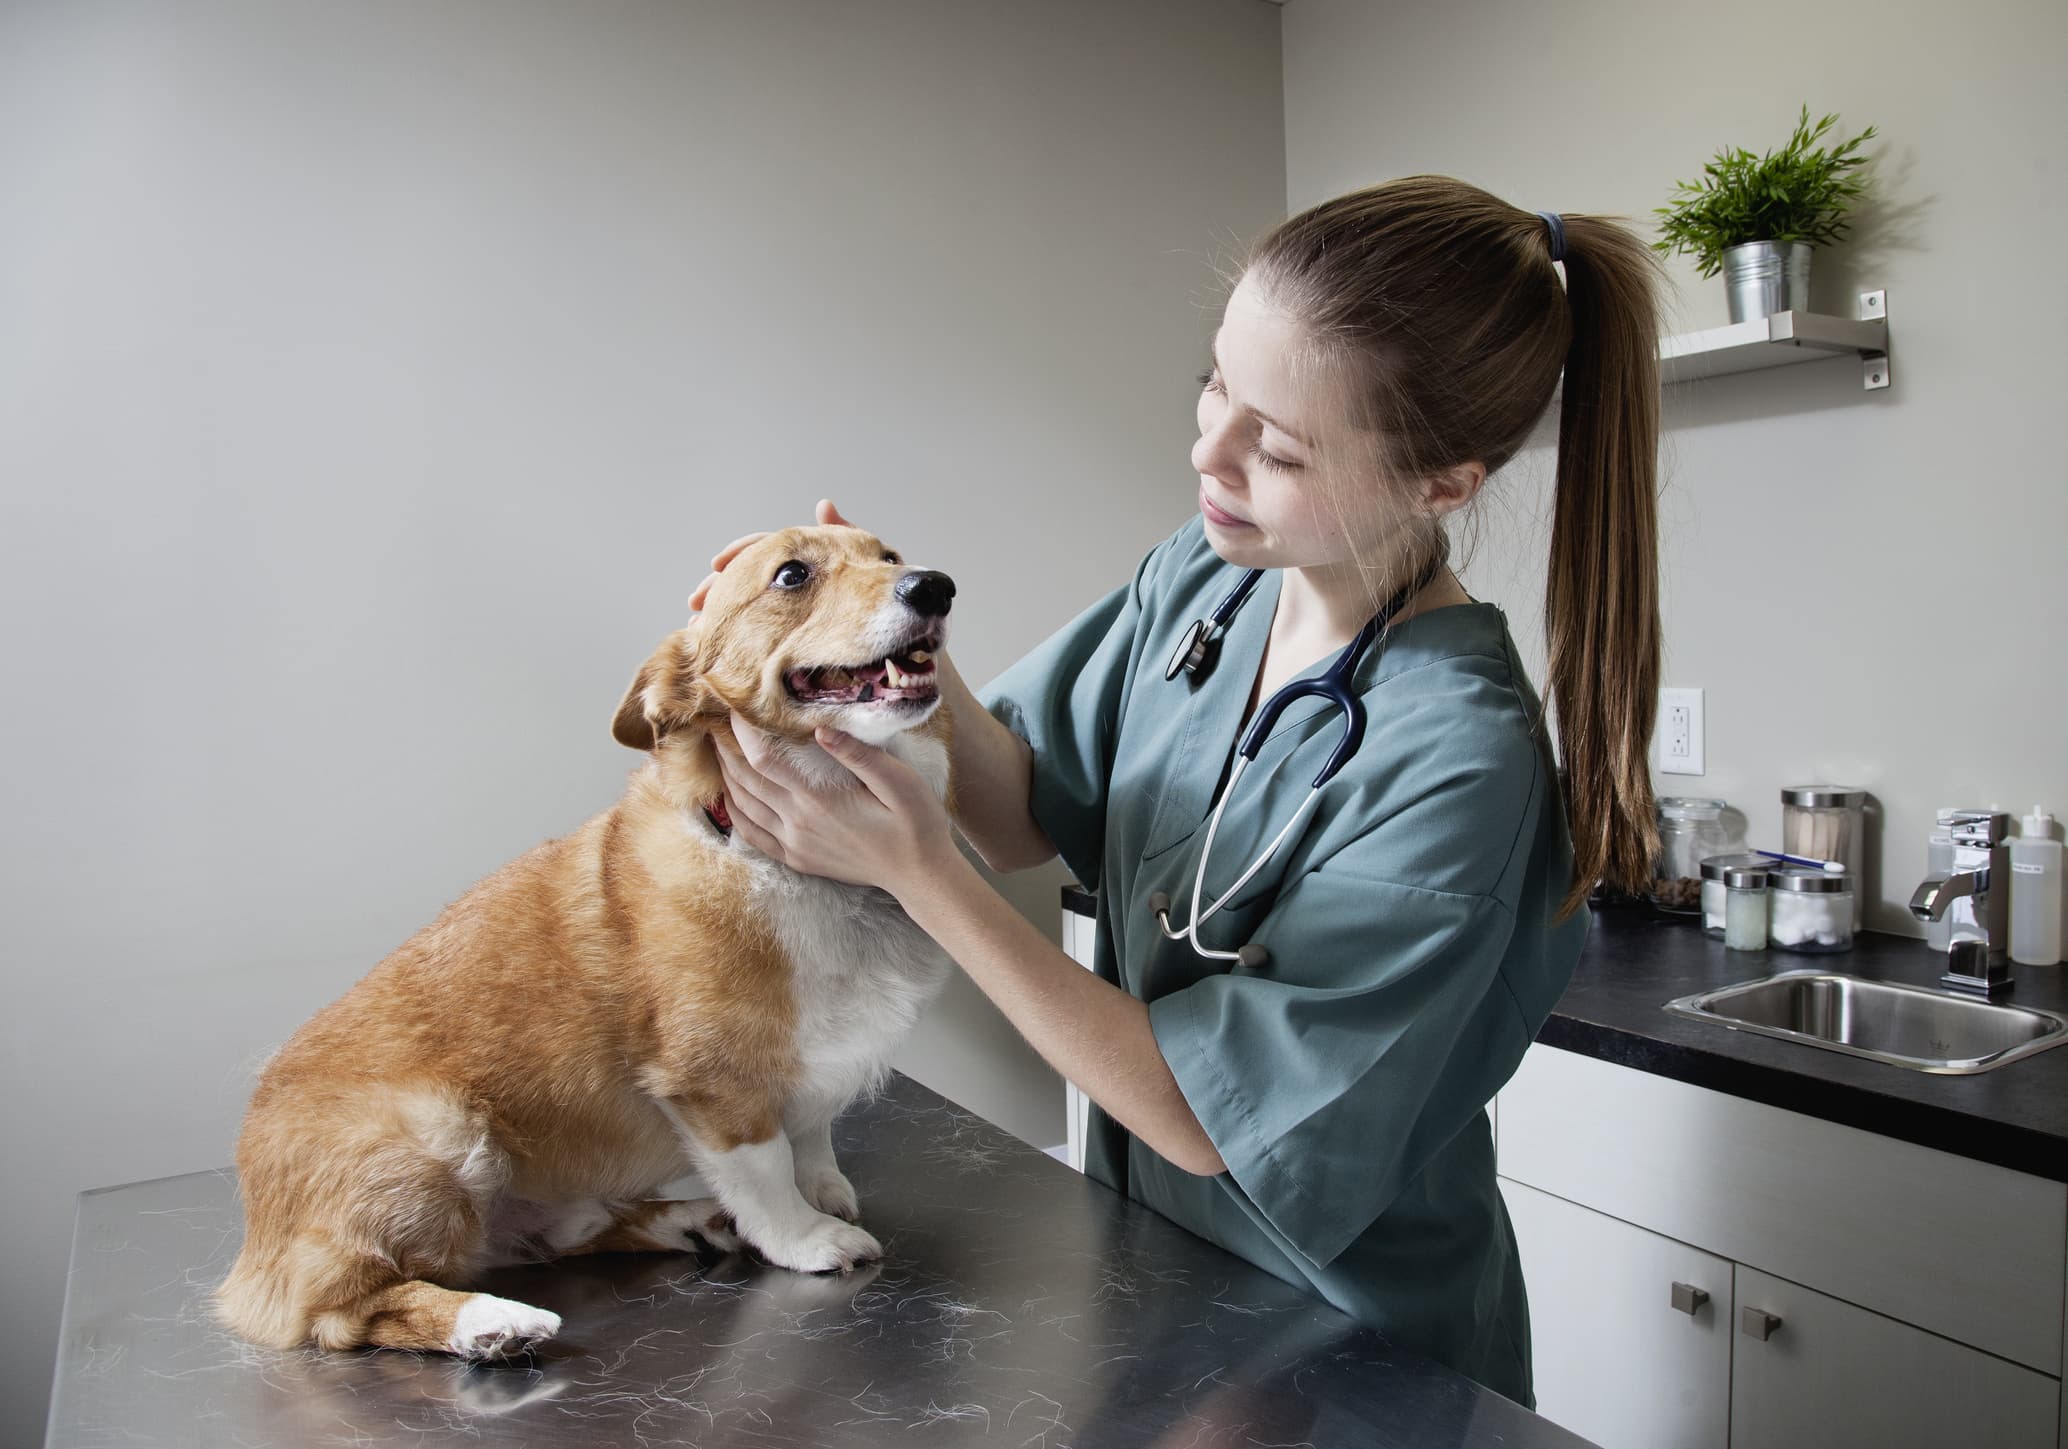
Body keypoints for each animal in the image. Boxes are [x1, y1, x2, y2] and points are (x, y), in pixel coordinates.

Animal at [214, 529, 955, 1355]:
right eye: (792, 573)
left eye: (888, 554)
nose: (935, 586)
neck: (795, 866)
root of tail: (251, 1255)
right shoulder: (716, 1085)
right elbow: (767, 1173)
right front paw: (811, 1236)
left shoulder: (811, 1063)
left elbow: (814, 1131)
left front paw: (823, 1187)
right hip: (440, 1134)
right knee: (348, 1309)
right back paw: (494, 1323)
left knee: (559, 1232)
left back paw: (682, 1220)